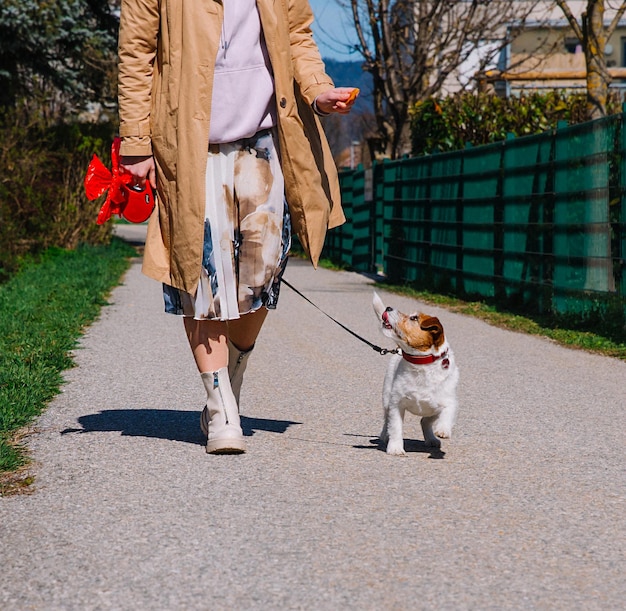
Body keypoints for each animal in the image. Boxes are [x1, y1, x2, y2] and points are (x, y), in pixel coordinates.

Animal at [372, 294, 456, 456]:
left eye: (414, 318)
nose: (388, 308)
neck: (421, 365)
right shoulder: (396, 404)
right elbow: (395, 427)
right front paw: (395, 447)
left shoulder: (450, 401)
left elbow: (448, 412)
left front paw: (443, 429)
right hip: (386, 399)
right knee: (387, 420)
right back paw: (385, 435)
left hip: (432, 411)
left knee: (425, 421)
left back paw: (432, 439)